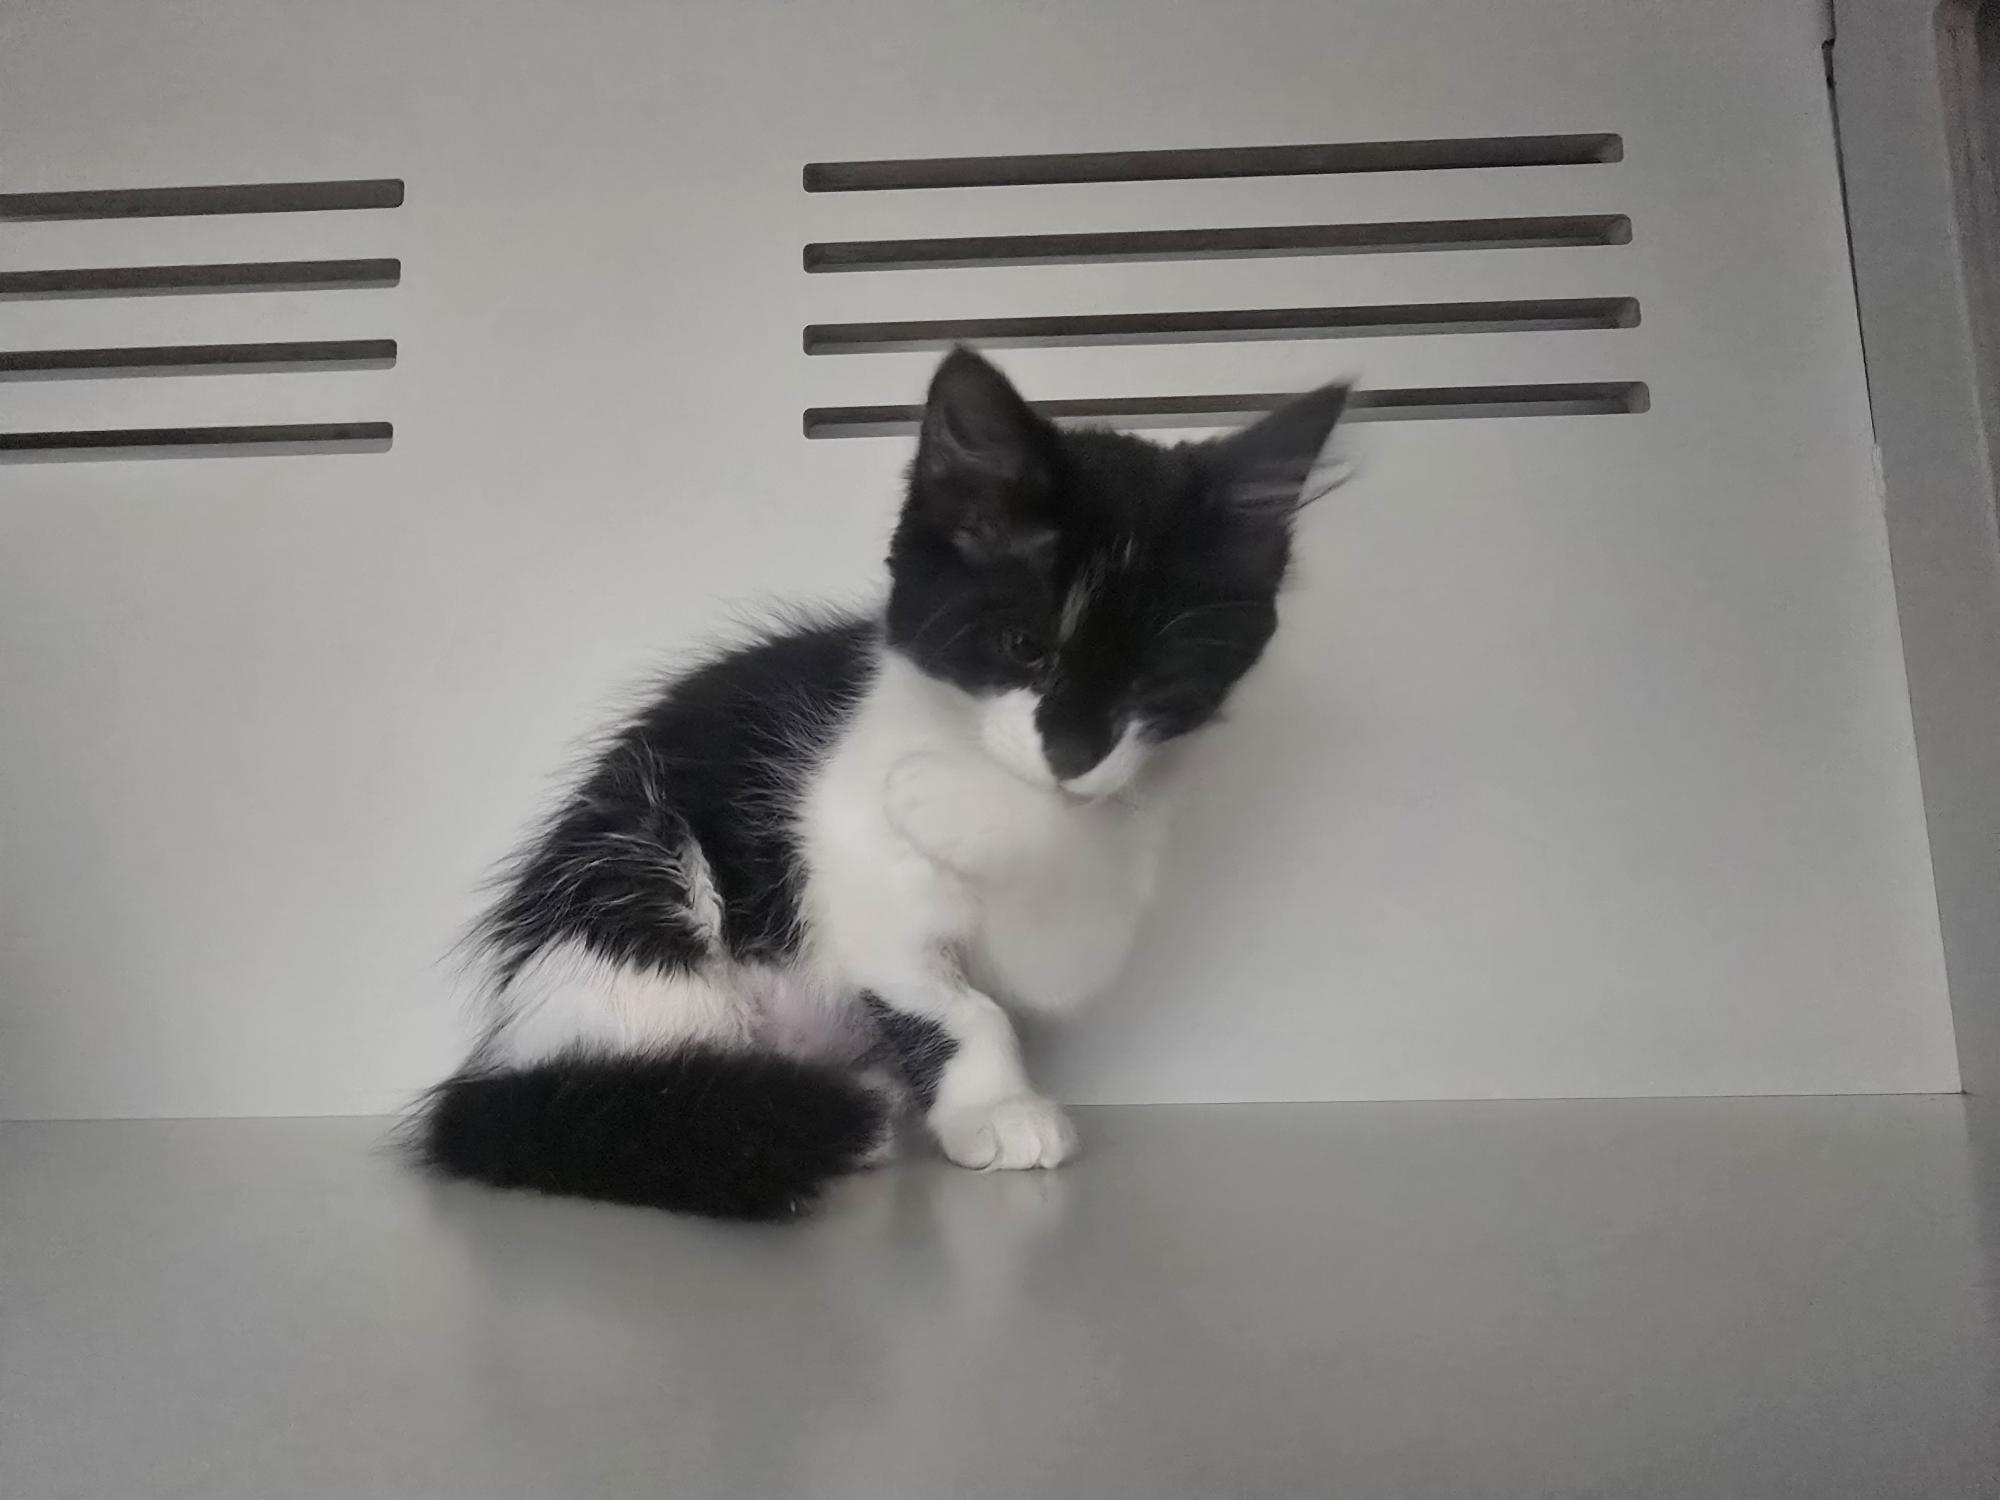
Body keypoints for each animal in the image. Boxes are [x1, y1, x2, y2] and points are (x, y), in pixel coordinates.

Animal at [415, 348, 1349, 1219]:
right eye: (1023, 647)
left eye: (1159, 678)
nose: (1072, 752)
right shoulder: (851, 872)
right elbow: (955, 999)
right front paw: (997, 1105)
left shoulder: (1091, 899)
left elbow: (1056, 924)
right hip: (635, 882)